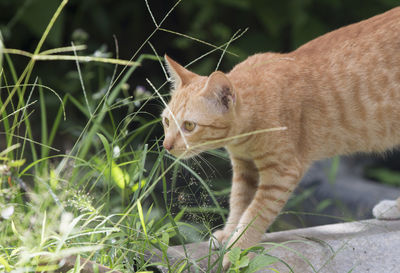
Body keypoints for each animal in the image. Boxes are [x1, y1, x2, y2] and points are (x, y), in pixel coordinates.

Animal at [161, 6, 398, 268]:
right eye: (166, 121)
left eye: (189, 126)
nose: (166, 145)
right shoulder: (245, 169)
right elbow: (238, 203)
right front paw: (229, 234)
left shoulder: (282, 172)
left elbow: (255, 213)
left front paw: (237, 249)